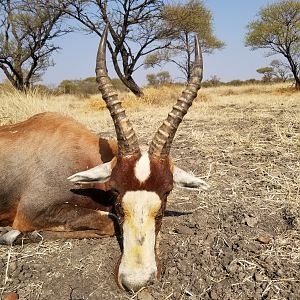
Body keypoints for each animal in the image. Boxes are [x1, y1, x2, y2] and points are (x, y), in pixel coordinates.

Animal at [0, 27, 209, 292]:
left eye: (167, 191)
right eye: (115, 191)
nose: (136, 281)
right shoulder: (30, 213)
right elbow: (110, 221)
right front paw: (13, 234)